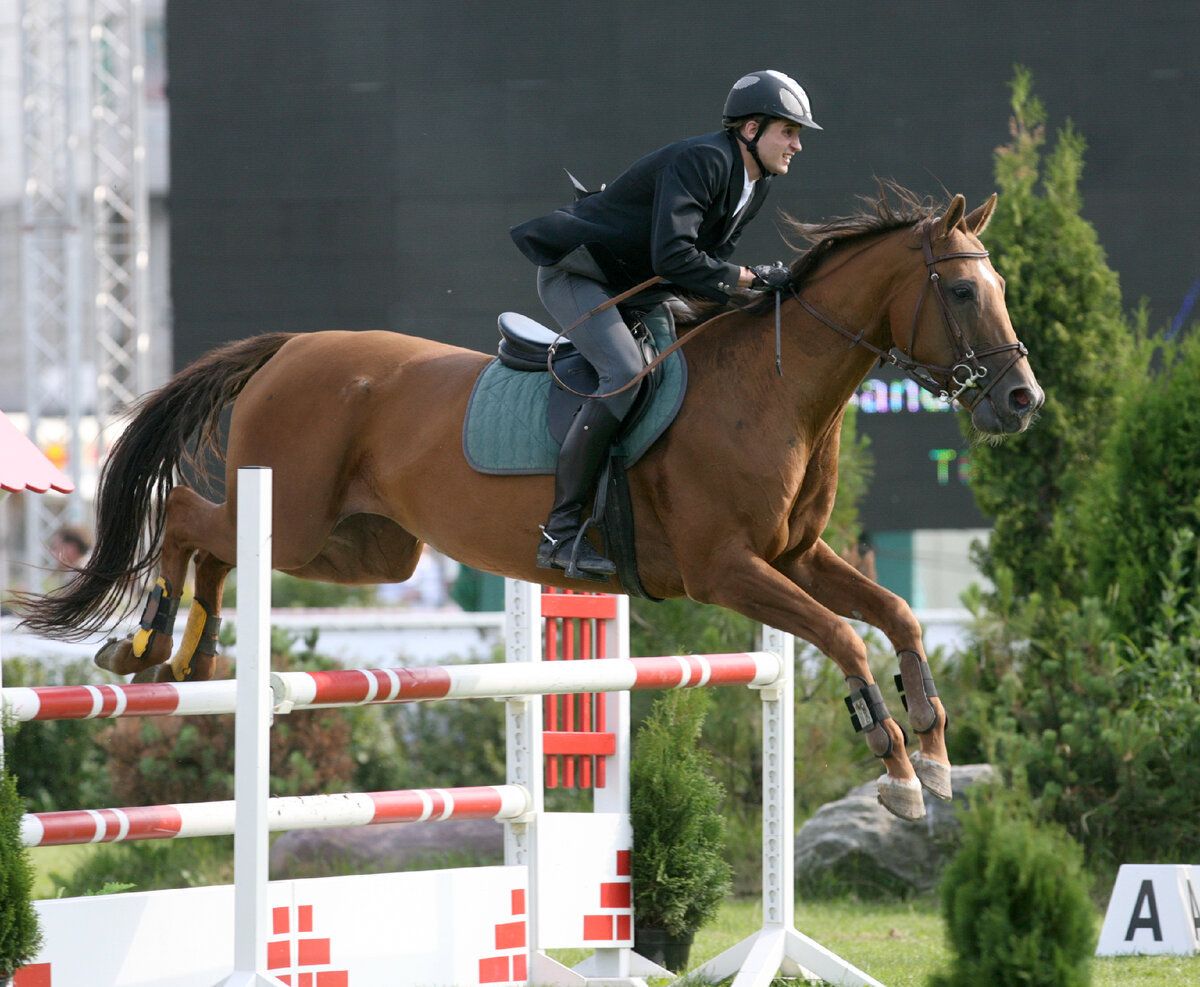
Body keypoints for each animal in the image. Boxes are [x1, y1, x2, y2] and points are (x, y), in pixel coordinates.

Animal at [16, 187, 1041, 821]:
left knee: (219, 547)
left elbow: (898, 615)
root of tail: (293, 344)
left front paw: (936, 748)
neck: (773, 386)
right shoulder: (728, 571)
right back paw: (148, 642)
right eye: (960, 289)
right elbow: (844, 639)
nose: (1021, 400)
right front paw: (900, 775)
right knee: (191, 518)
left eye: (999, 283)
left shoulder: (793, 558)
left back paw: (186, 652)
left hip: (366, 549)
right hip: (299, 516)